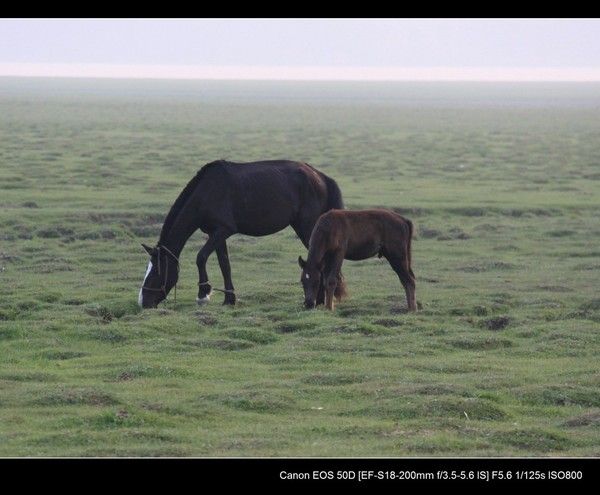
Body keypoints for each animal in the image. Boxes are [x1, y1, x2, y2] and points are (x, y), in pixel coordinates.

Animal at [139, 159, 344, 308]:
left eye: (156, 272)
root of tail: (320, 177)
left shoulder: (223, 230)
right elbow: (225, 265)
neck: (207, 191)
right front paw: (229, 299)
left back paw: (318, 300)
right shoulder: (216, 233)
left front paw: (203, 294)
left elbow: (201, 257)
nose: (143, 302)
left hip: (308, 227)